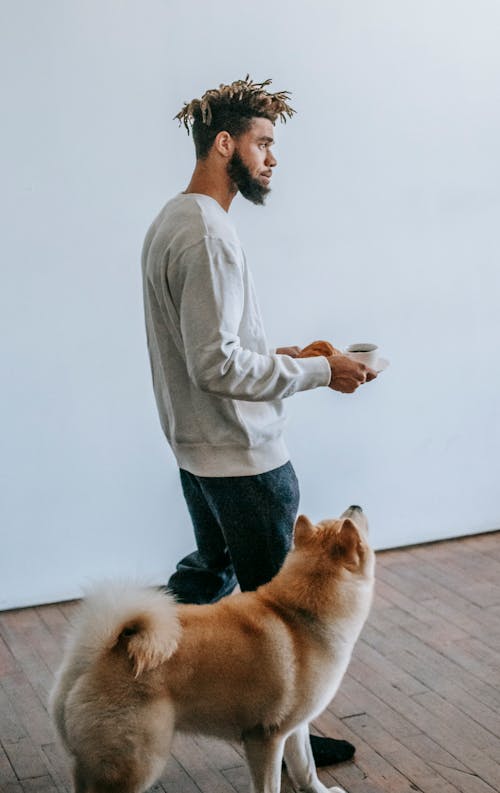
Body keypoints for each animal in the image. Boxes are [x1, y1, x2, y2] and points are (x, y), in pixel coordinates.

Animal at [49, 508, 376, 792]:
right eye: (349, 521)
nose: (356, 505)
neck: (299, 615)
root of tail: (96, 655)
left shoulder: (293, 729)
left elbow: (305, 768)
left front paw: (319, 790)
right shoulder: (265, 738)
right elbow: (269, 785)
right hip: (138, 761)